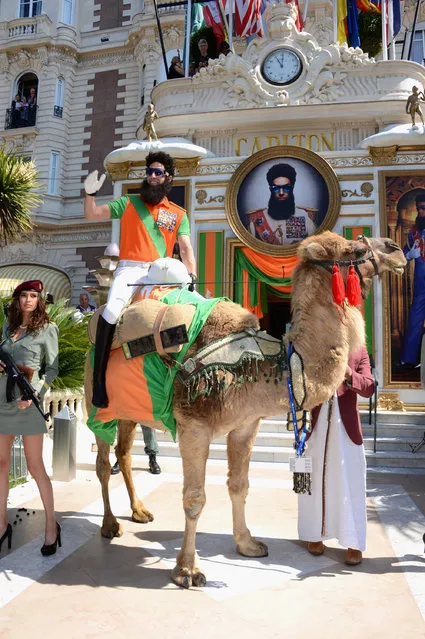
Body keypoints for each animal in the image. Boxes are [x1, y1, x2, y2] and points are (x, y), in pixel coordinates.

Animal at [84, 232, 406, 588]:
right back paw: (110, 525)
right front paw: (188, 570)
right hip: (97, 405)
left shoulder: (246, 424)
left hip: (130, 411)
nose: (397, 250)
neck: (264, 363)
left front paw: (248, 544)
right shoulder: (194, 425)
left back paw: (139, 511)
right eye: (355, 248)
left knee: (125, 454)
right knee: (103, 463)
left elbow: (239, 486)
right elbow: (195, 497)